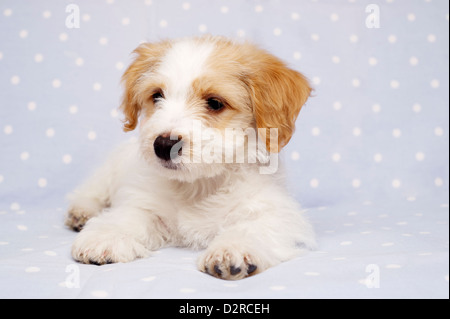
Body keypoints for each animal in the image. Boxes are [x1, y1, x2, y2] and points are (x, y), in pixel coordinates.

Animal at [66, 35, 316, 280]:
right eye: (157, 96)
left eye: (215, 103)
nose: (163, 145)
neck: (198, 185)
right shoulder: (145, 203)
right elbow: (127, 216)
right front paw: (104, 237)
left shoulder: (274, 211)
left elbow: (253, 227)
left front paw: (231, 249)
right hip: (108, 171)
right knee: (93, 191)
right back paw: (82, 212)